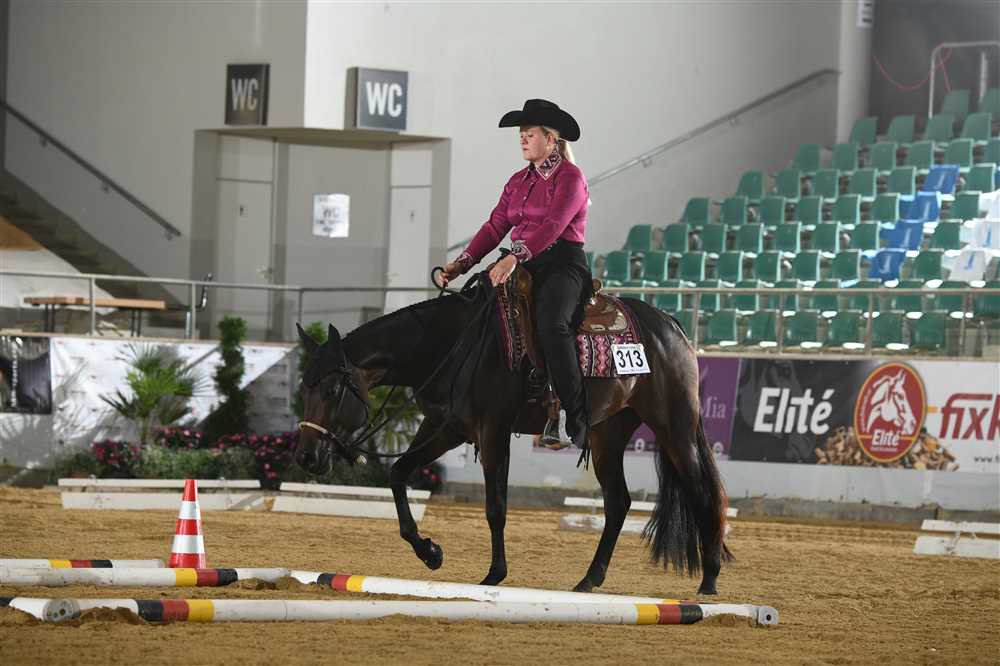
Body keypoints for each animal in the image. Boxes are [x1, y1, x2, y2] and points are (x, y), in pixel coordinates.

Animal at [294, 272, 732, 595]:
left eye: (331, 391)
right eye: (303, 387)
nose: (306, 456)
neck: (452, 343)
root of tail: (671, 325)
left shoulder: (493, 430)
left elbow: (496, 506)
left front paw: (494, 574)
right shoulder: (446, 426)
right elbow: (399, 473)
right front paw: (430, 552)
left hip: (674, 426)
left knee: (703, 491)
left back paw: (709, 579)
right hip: (609, 434)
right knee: (618, 503)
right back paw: (589, 579)